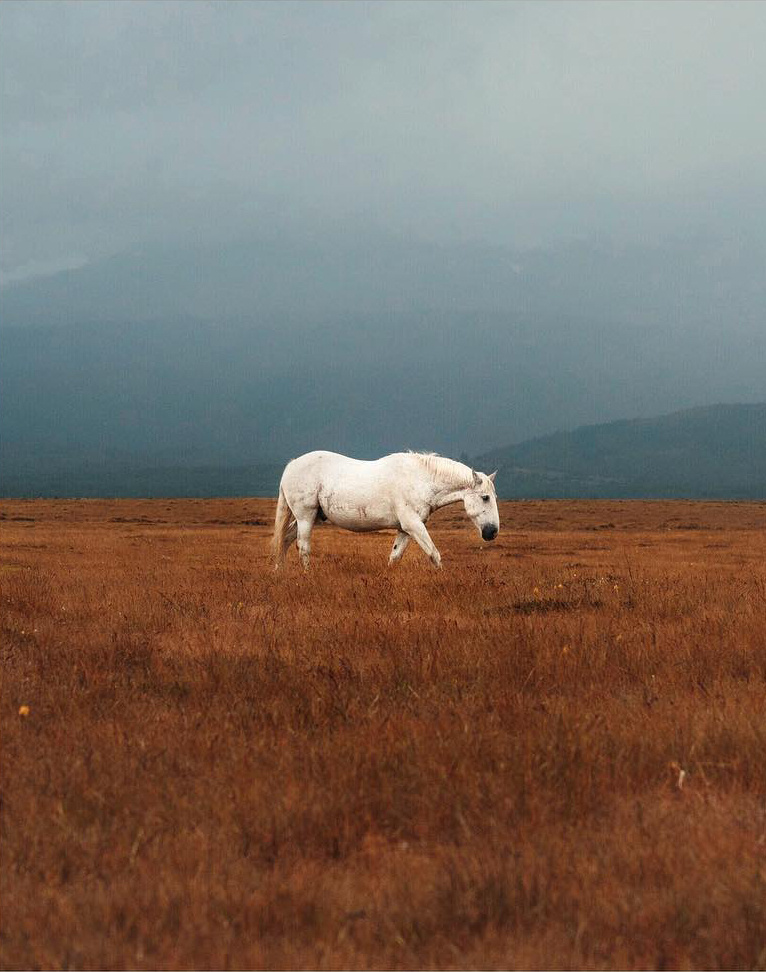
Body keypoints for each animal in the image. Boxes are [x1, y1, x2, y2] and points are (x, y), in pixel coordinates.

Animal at [272, 450, 500, 568]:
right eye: (485, 497)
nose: (492, 532)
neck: (420, 479)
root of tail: (291, 465)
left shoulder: (405, 529)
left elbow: (395, 556)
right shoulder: (414, 526)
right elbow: (434, 554)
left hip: (311, 517)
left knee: (285, 539)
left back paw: (280, 572)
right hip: (305, 516)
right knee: (302, 546)